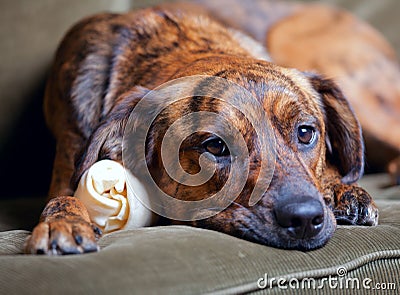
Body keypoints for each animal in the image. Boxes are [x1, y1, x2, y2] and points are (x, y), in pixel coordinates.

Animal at [25, 3, 378, 256]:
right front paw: (63, 221)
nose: (304, 218)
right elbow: (63, 199)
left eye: (305, 133)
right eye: (216, 146)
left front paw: (342, 189)